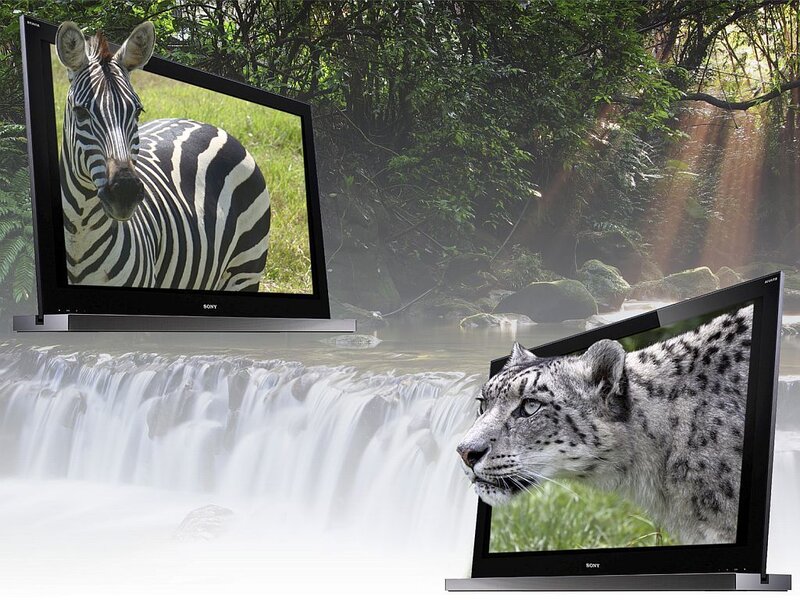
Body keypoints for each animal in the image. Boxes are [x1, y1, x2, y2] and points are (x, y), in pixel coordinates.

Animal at [55, 21, 271, 291]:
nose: (125, 192)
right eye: (80, 112)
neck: (79, 236)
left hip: (246, 269)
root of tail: (208, 125)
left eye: (137, 111)